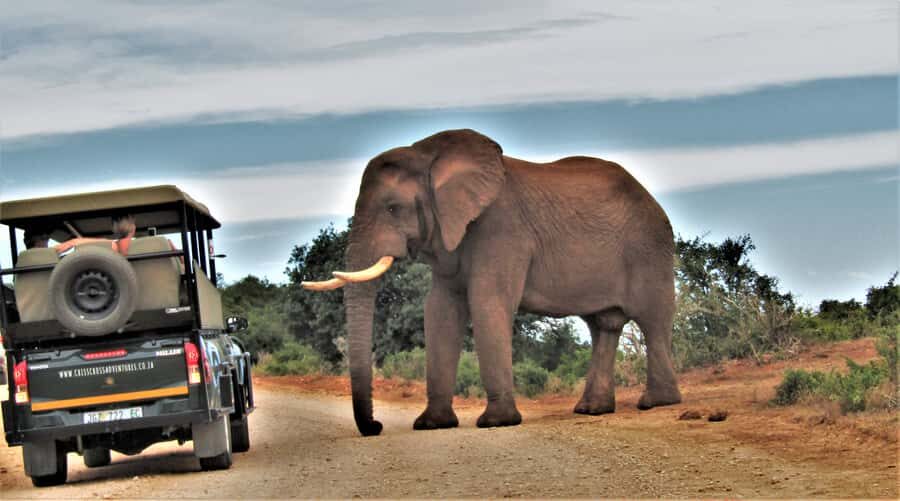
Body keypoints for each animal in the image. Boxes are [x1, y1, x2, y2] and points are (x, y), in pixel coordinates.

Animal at [303, 129, 682, 436]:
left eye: (394, 209)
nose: (376, 426)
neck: (428, 156)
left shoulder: (502, 228)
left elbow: (488, 302)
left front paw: (496, 423)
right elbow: (440, 310)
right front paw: (431, 425)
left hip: (650, 247)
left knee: (652, 320)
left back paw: (657, 403)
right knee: (604, 325)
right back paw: (591, 410)